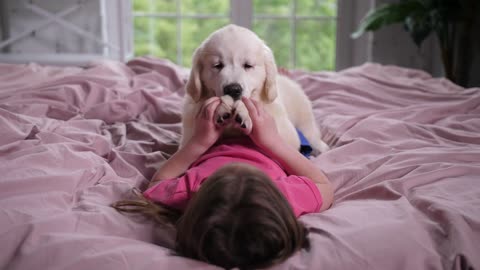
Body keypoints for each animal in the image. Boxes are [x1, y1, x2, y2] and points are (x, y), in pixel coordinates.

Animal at [180, 24, 330, 155]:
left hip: (304, 118)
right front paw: (221, 108)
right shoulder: (188, 135)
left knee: (312, 135)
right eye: (217, 65)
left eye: (248, 65)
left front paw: (244, 110)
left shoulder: (288, 133)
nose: (233, 90)